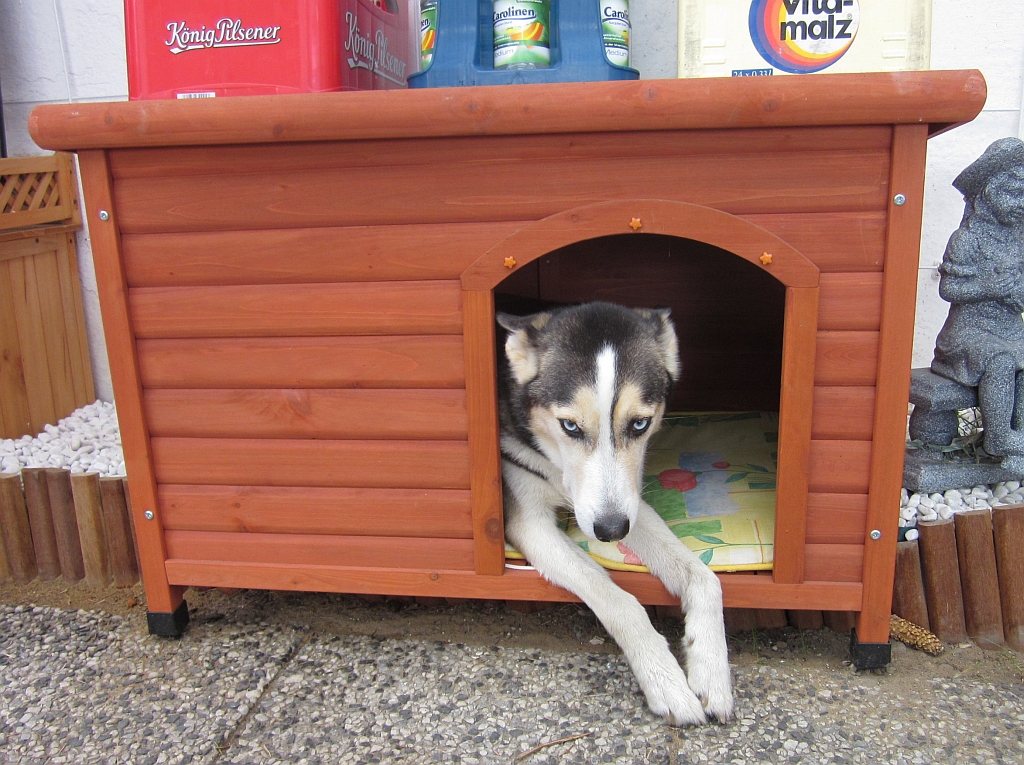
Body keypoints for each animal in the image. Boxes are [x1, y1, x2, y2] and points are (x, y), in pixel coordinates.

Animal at [497, 303, 733, 729]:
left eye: (640, 423)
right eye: (569, 425)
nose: (610, 531)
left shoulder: (628, 505)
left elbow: (706, 579)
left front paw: (710, 671)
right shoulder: (530, 521)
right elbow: (619, 601)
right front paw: (665, 679)